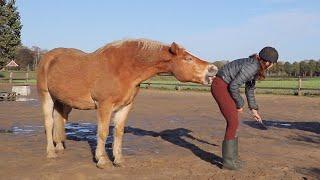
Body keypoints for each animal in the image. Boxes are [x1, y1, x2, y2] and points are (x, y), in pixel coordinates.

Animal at [37, 38, 218, 168]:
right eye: (188, 58)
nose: (213, 69)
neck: (123, 69)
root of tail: (48, 57)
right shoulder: (104, 106)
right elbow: (103, 132)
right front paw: (102, 160)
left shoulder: (125, 107)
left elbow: (118, 132)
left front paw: (118, 159)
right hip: (46, 96)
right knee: (49, 122)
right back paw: (51, 152)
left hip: (63, 102)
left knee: (60, 120)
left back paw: (59, 146)